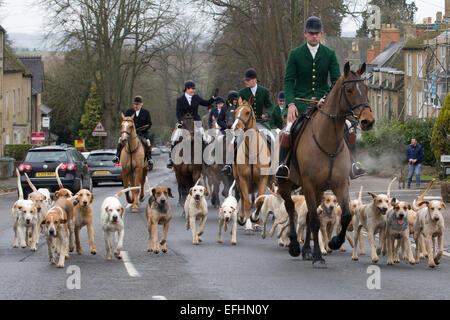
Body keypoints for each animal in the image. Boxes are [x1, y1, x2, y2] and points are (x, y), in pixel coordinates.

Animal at [232, 96, 270, 231]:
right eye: (235, 111)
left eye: (247, 112)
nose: (235, 127)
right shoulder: (243, 179)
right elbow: (247, 202)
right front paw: (248, 223)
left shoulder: (263, 179)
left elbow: (260, 201)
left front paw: (256, 218)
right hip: (238, 180)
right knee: (243, 198)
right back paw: (242, 217)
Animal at [278, 62, 376, 268]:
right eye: (349, 90)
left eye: (365, 88)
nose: (368, 121)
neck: (328, 139)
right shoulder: (308, 184)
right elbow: (315, 221)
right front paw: (317, 256)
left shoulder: (340, 184)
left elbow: (345, 216)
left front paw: (334, 242)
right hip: (286, 184)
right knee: (290, 208)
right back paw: (294, 246)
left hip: (318, 190)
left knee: (307, 214)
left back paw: (306, 250)